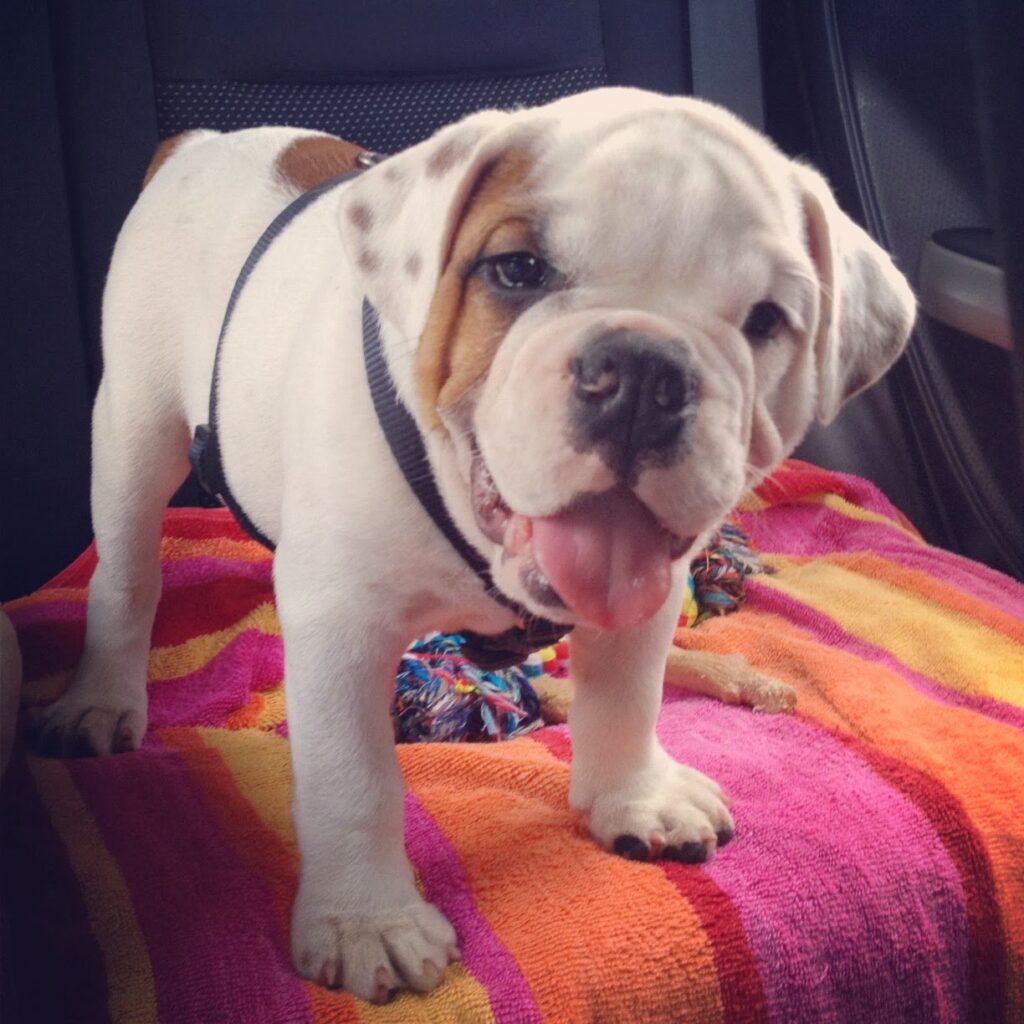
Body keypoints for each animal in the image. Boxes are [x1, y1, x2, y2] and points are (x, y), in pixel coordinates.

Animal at [29, 88, 913, 999]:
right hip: (134, 429)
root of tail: (199, 143)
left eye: (767, 320)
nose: (642, 372)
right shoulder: (339, 624)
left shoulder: (649, 596)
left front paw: (631, 796)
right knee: (127, 573)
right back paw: (102, 699)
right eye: (517, 271)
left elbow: (627, 696)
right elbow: (352, 776)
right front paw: (366, 921)